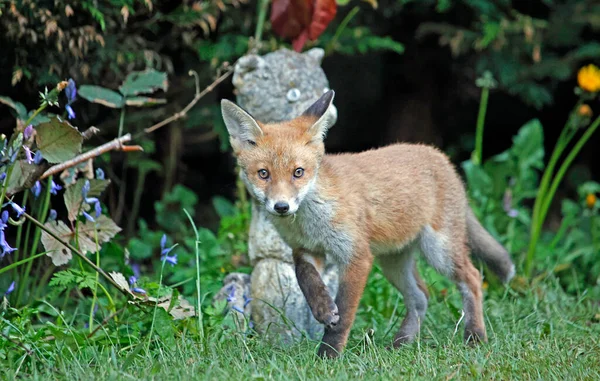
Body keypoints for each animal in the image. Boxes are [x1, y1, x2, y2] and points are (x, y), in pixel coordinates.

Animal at [221, 90, 516, 358]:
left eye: (298, 172)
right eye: (263, 174)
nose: (281, 207)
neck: (310, 221)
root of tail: (439, 156)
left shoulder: (357, 256)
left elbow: (344, 315)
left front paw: (328, 356)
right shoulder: (306, 250)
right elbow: (306, 280)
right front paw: (322, 309)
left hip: (439, 252)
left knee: (473, 278)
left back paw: (475, 336)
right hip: (393, 262)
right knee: (421, 296)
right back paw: (401, 344)